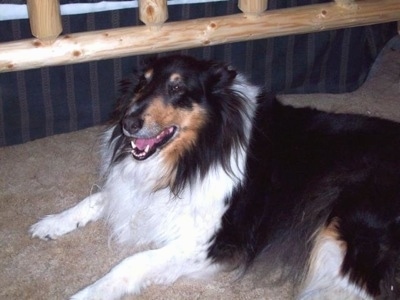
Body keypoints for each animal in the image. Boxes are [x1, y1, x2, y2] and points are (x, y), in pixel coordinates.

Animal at [29, 55, 400, 298]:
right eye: (142, 84)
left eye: (177, 89)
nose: (128, 124)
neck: (196, 152)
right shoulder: (139, 192)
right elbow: (96, 198)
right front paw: (52, 223)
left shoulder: (211, 241)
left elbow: (131, 263)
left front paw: (87, 293)